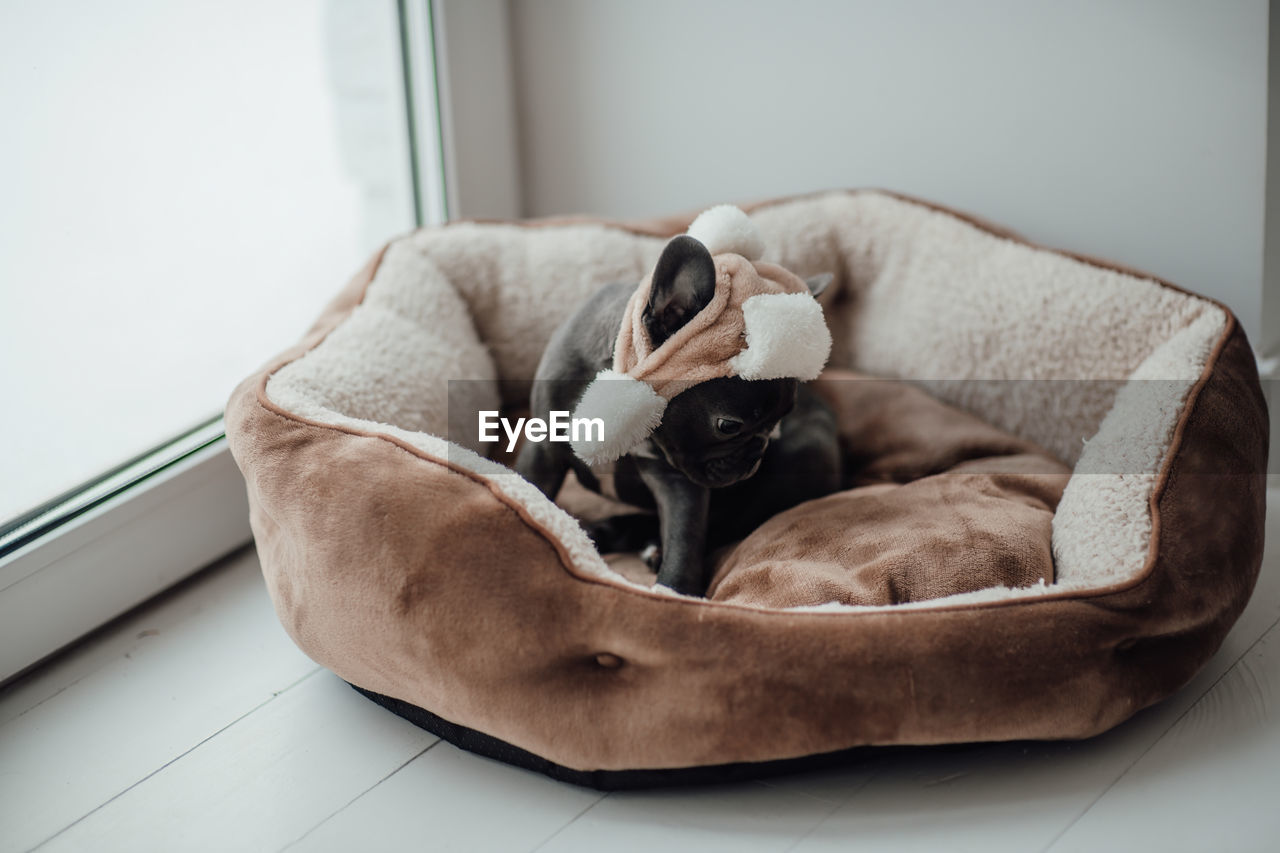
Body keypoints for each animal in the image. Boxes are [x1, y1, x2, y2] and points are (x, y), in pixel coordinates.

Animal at [514, 229, 844, 594]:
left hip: (806, 456)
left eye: (779, 423)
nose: (757, 453)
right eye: (728, 426)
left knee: (730, 521)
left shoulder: (678, 480)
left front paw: (674, 591)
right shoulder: (544, 447)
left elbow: (685, 539)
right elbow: (530, 489)